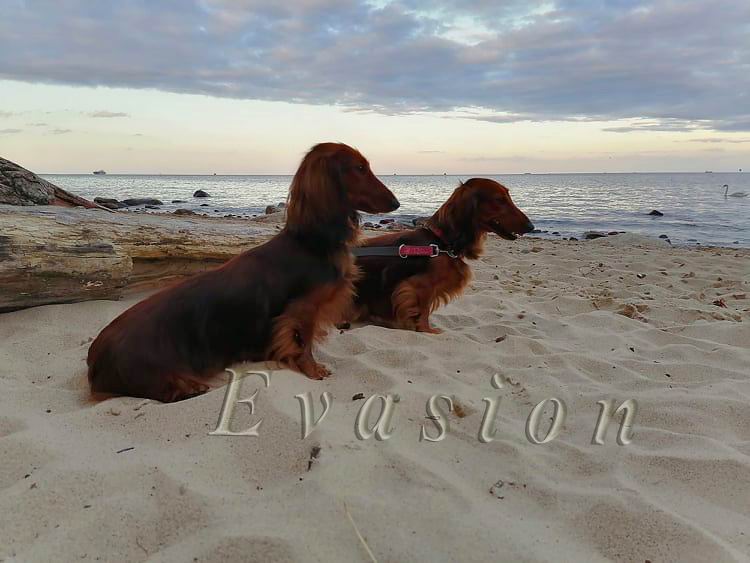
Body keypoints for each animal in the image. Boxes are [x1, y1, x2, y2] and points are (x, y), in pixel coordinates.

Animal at [87, 143, 400, 402]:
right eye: (360, 168)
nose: (397, 204)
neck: (311, 243)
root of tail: (94, 359)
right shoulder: (302, 309)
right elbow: (303, 342)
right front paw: (313, 370)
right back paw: (188, 387)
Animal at [349, 178, 533, 333]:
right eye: (499, 200)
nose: (531, 226)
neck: (440, 242)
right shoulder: (417, 286)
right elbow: (423, 310)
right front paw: (427, 331)